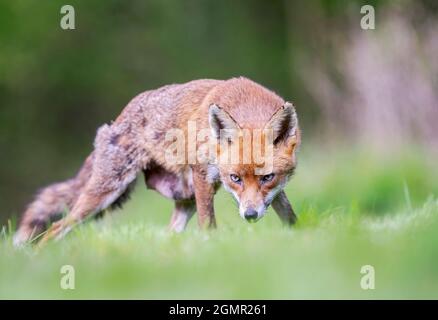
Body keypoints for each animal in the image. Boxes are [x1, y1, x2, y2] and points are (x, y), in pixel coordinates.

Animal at [13, 77, 302, 245]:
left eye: (267, 178)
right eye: (235, 179)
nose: (250, 215)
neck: (248, 105)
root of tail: (116, 120)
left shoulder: (273, 192)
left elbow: (289, 215)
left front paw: (299, 239)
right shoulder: (203, 174)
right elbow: (208, 225)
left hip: (185, 198)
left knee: (168, 236)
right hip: (104, 195)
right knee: (55, 229)